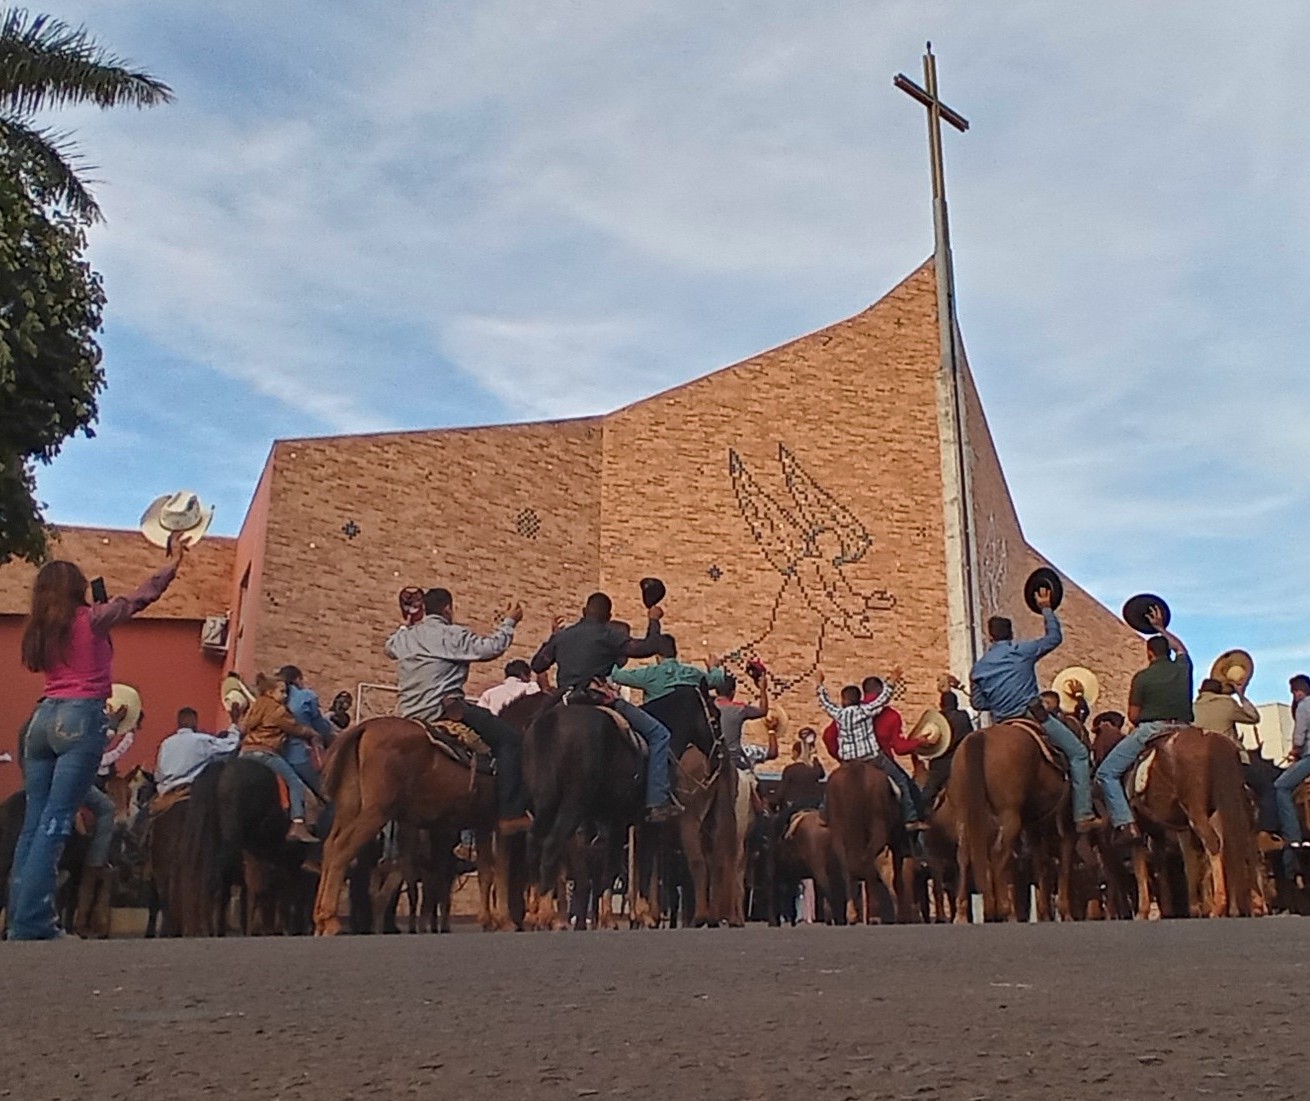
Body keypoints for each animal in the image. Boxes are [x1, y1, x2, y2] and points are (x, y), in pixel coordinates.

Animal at [311, 713, 516, 938]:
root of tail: (363, 728)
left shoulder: (483, 824)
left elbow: (486, 872)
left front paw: (489, 921)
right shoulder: (501, 824)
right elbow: (501, 870)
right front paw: (504, 921)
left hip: (349, 809)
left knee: (330, 847)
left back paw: (320, 920)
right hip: (375, 814)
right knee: (343, 850)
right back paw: (330, 920)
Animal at [953, 723, 1074, 922]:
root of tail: (980, 737)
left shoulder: (1034, 827)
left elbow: (1041, 863)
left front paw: (1045, 913)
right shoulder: (1066, 825)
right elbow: (1063, 863)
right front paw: (1064, 913)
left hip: (964, 814)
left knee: (965, 855)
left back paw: (964, 914)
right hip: (1009, 817)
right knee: (998, 854)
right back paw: (1002, 910)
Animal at [1126, 728, 1257, 917]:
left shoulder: (1138, 828)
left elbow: (1141, 866)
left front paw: (1143, 911)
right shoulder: (1172, 830)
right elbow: (1183, 862)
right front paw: (1183, 908)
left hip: (1197, 812)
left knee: (1213, 844)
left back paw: (1219, 906)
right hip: (1224, 810)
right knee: (1234, 847)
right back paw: (1240, 906)